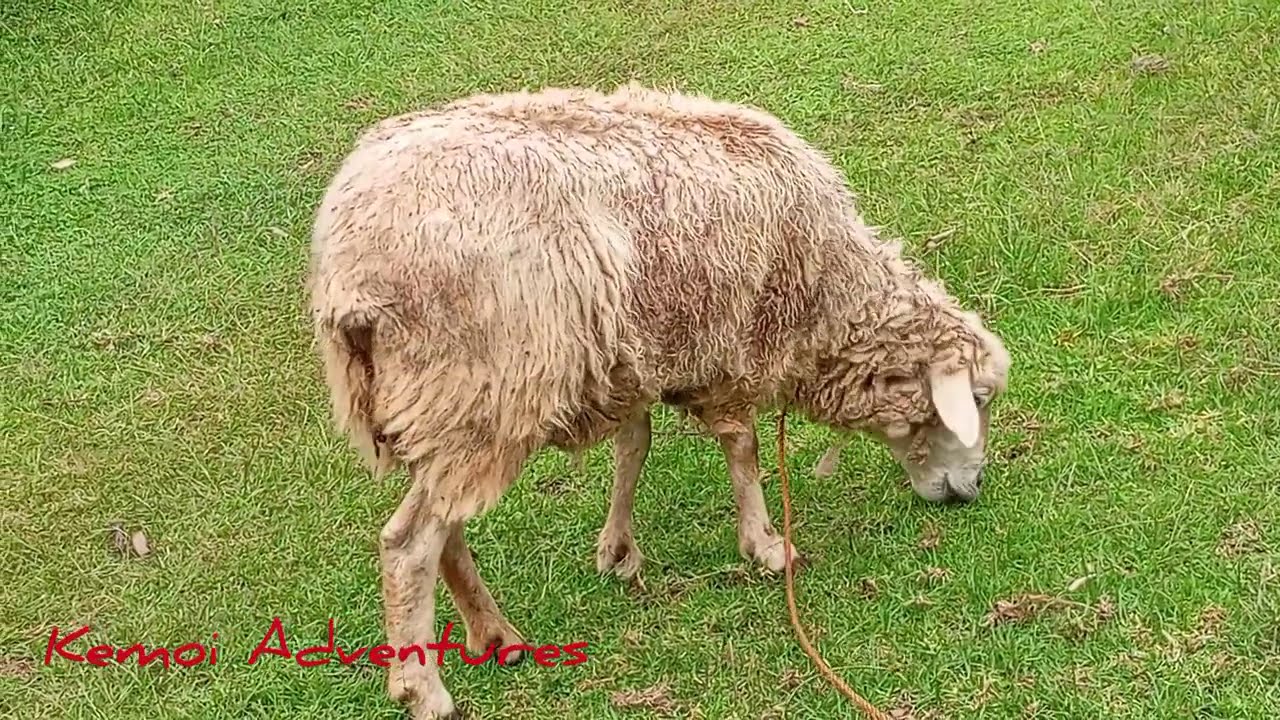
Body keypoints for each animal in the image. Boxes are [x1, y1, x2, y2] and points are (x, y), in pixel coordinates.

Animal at [308, 82, 1010, 719]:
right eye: (976, 398)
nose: (973, 490)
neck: (830, 297)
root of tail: (351, 271)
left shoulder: (641, 351)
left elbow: (633, 446)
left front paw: (617, 549)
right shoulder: (732, 343)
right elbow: (744, 449)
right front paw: (765, 545)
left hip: (443, 409)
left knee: (444, 527)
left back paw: (495, 634)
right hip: (481, 393)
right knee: (408, 544)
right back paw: (424, 689)